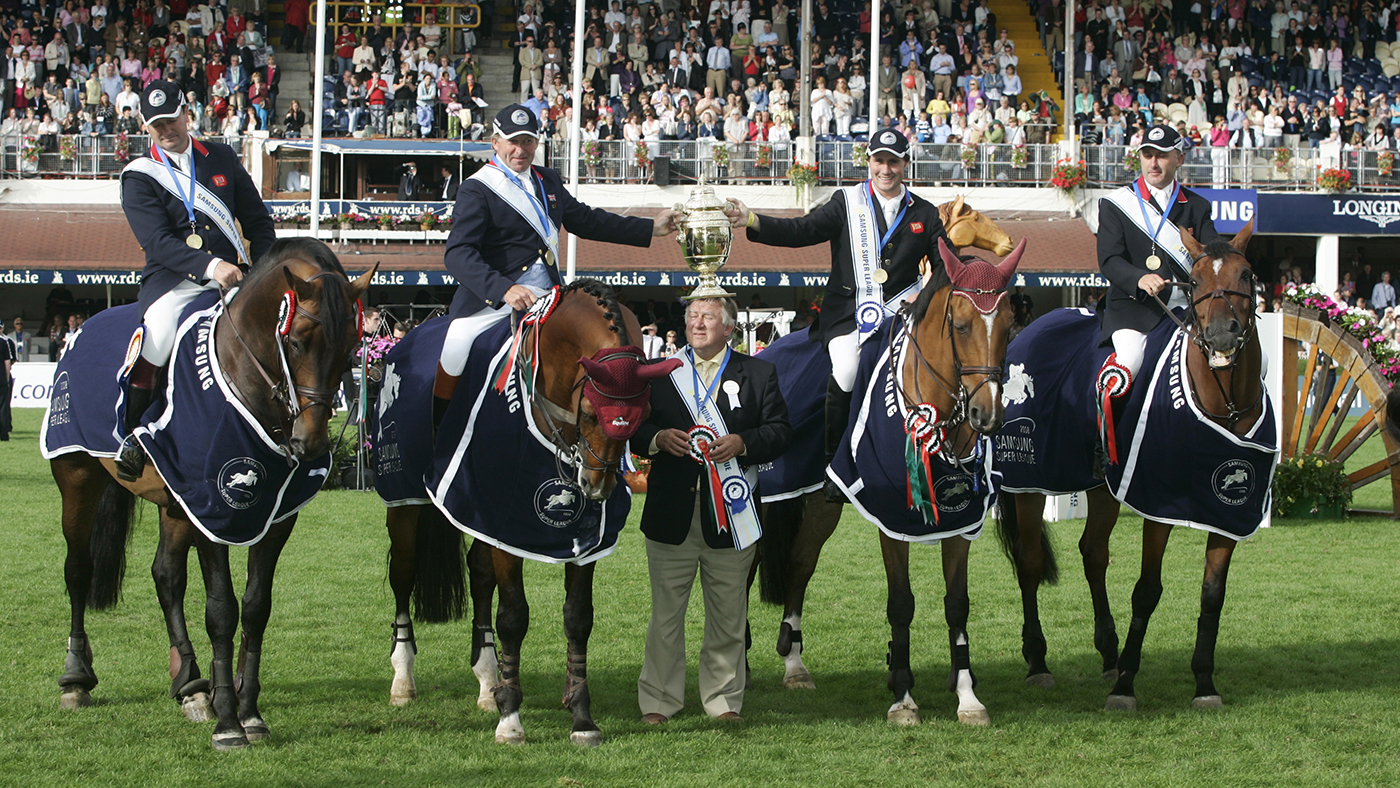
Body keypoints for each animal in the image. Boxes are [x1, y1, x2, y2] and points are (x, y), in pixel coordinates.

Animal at [52, 239, 375, 750]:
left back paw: (188, 684)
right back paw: (76, 678)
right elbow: (221, 609)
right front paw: (228, 723)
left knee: (166, 576)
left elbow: (256, 607)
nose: (310, 444)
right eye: (297, 340)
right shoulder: (214, 511)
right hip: (78, 476)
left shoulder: (273, 516)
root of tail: (82, 327)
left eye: (349, 349)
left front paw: (250, 712)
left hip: (174, 502)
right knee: (78, 569)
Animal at [386, 279, 674, 750]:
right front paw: (511, 719)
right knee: (403, 575)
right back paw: (403, 679)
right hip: (406, 502)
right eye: (591, 412)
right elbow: (513, 617)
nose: (596, 488)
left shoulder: (580, 538)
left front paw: (581, 716)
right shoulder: (506, 524)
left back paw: (488, 682)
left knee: (479, 575)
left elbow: (578, 618)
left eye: (643, 416)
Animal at [750, 197, 1013, 691]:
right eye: (960, 325)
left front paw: (965, 690)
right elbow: (901, 601)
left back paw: (794, 661)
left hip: (820, 502)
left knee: (800, 563)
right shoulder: (889, 517)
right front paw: (902, 687)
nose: (985, 415)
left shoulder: (963, 519)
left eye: (1009, 325)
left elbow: (957, 603)